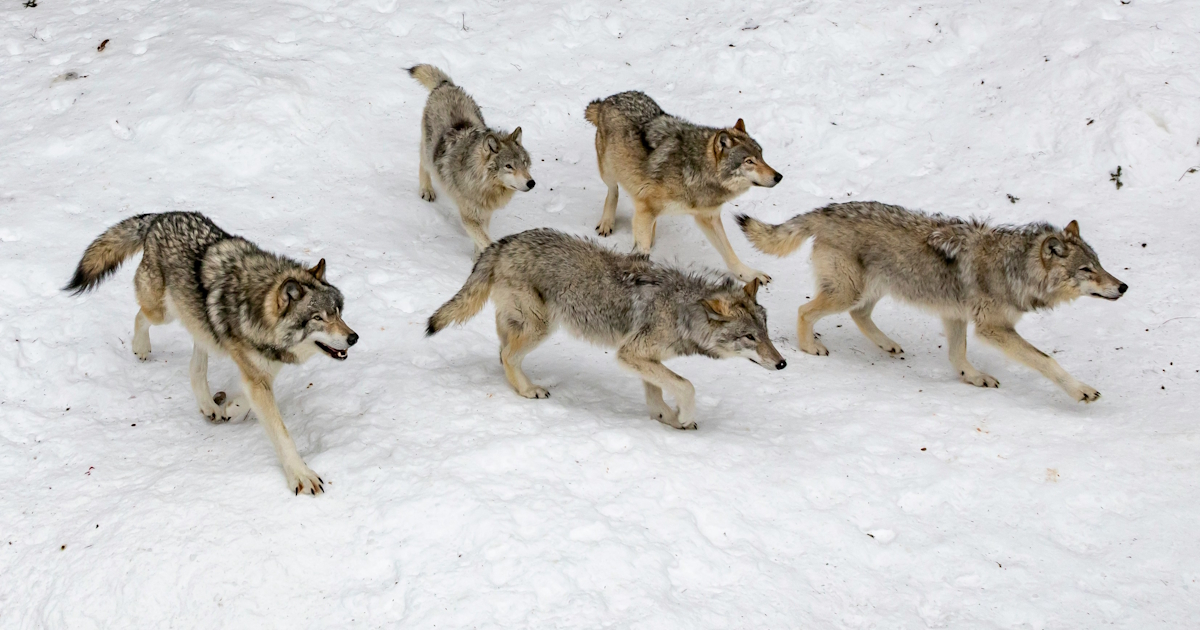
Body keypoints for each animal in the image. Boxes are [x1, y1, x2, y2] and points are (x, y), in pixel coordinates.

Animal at [65, 212, 358, 495]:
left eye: (338, 312)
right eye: (318, 318)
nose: (353, 338)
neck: (257, 312)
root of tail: (160, 217)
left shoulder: (262, 371)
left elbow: (247, 399)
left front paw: (231, 408)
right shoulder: (257, 376)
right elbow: (281, 433)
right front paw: (301, 476)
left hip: (200, 325)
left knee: (195, 366)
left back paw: (208, 405)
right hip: (163, 313)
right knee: (141, 316)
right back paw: (141, 348)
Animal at [409, 64, 534, 255]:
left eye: (524, 163)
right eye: (509, 166)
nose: (531, 183)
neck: (483, 185)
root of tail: (446, 86)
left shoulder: (485, 214)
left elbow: (481, 239)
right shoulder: (470, 217)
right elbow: (485, 239)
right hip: (428, 151)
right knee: (423, 164)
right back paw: (426, 190)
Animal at [426, 228, 786, 429]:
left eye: (766, 333)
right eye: (750, 337)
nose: (782, 363)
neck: (682, 310)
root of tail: (503, 242)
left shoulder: (643, 359)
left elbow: (657, 393)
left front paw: (667, 419)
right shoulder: (631, 354)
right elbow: (686, 386)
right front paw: (682, 417)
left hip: (526, 323)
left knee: (501, 350)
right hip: (542, 326)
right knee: (507, 355)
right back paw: (529, 390)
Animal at [583, 91, 781, 284]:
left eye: (761, 156)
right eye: (749, 161)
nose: (779, 177)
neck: (695, 170)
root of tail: (609, 99)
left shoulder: (708, 217)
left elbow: (730, 253)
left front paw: (749, 275)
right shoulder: (647, 208)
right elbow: (643, 249)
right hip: (609, 171)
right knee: (613, 192)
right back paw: (607, 223)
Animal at [737, 202, 1128, 403]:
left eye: (1100, 264)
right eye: (1087, 269)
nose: (1123, 287)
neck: (1015, 268)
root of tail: (827, 209)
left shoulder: (955, 315)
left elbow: (958, 356)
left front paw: (972, 377)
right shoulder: (993, 329)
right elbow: (1047, 361)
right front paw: (1081, 391)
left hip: (873, 289)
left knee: (859, 315)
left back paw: (888, 345)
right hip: (848, 290)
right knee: (806, 311)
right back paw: (810, 347)